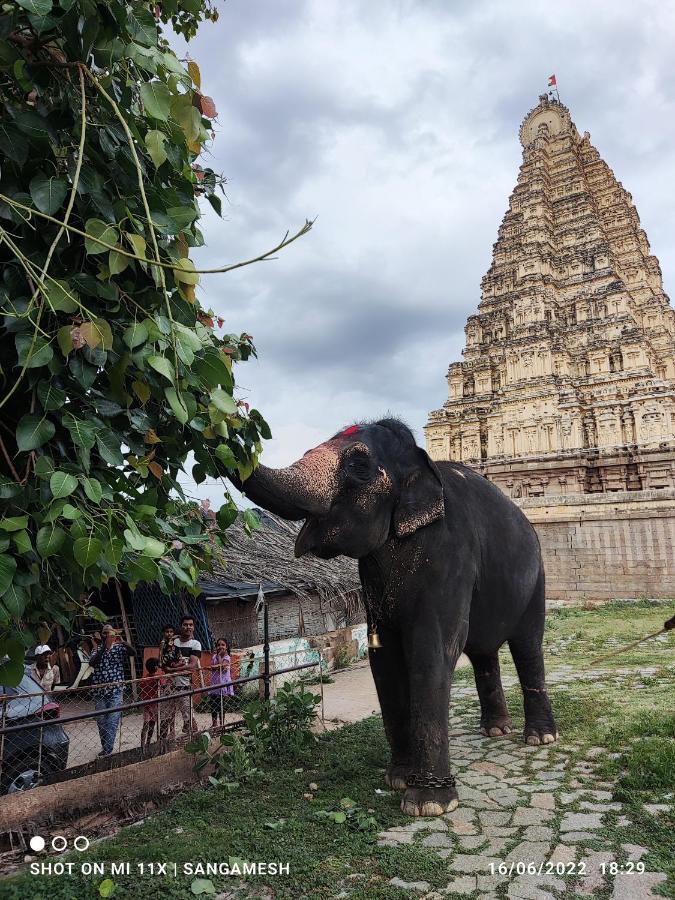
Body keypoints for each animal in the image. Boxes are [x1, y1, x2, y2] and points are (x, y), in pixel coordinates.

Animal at [234, 420, 560, 816]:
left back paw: (539, 738)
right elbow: (384, 657)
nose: (230, 427)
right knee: (483, 654)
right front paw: (397, 780)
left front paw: (428, 805)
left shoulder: (449, 554)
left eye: (359, 465)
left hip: (537, 577)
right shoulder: (371, 575)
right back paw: (495, 731)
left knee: (527, 645)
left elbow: (431, 651)